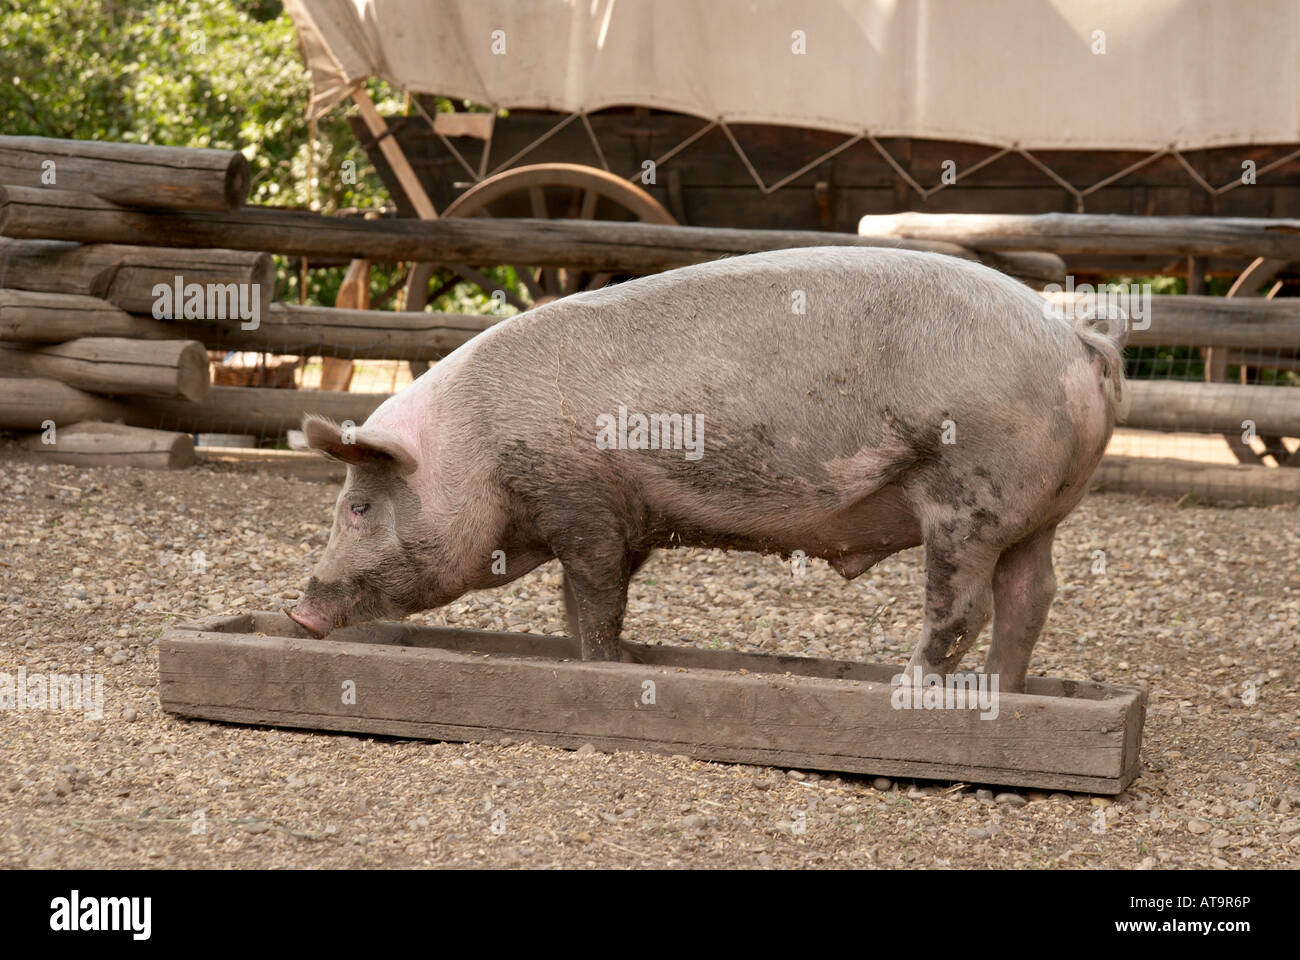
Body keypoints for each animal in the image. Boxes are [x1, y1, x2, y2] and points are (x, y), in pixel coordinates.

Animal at [289, 248, 1123, 686]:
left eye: (358, 507)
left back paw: (908, 686)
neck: (477, 445)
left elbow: (594, 598)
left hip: (968, 493)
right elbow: (586, 603)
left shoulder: (580, 506)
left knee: (964, 606)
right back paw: (1005, 692)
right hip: (1039, 508)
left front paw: (604, 666)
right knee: (1031, 595)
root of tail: (1077, 342)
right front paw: (605, 659)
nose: (299, 614)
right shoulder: (620, 517)